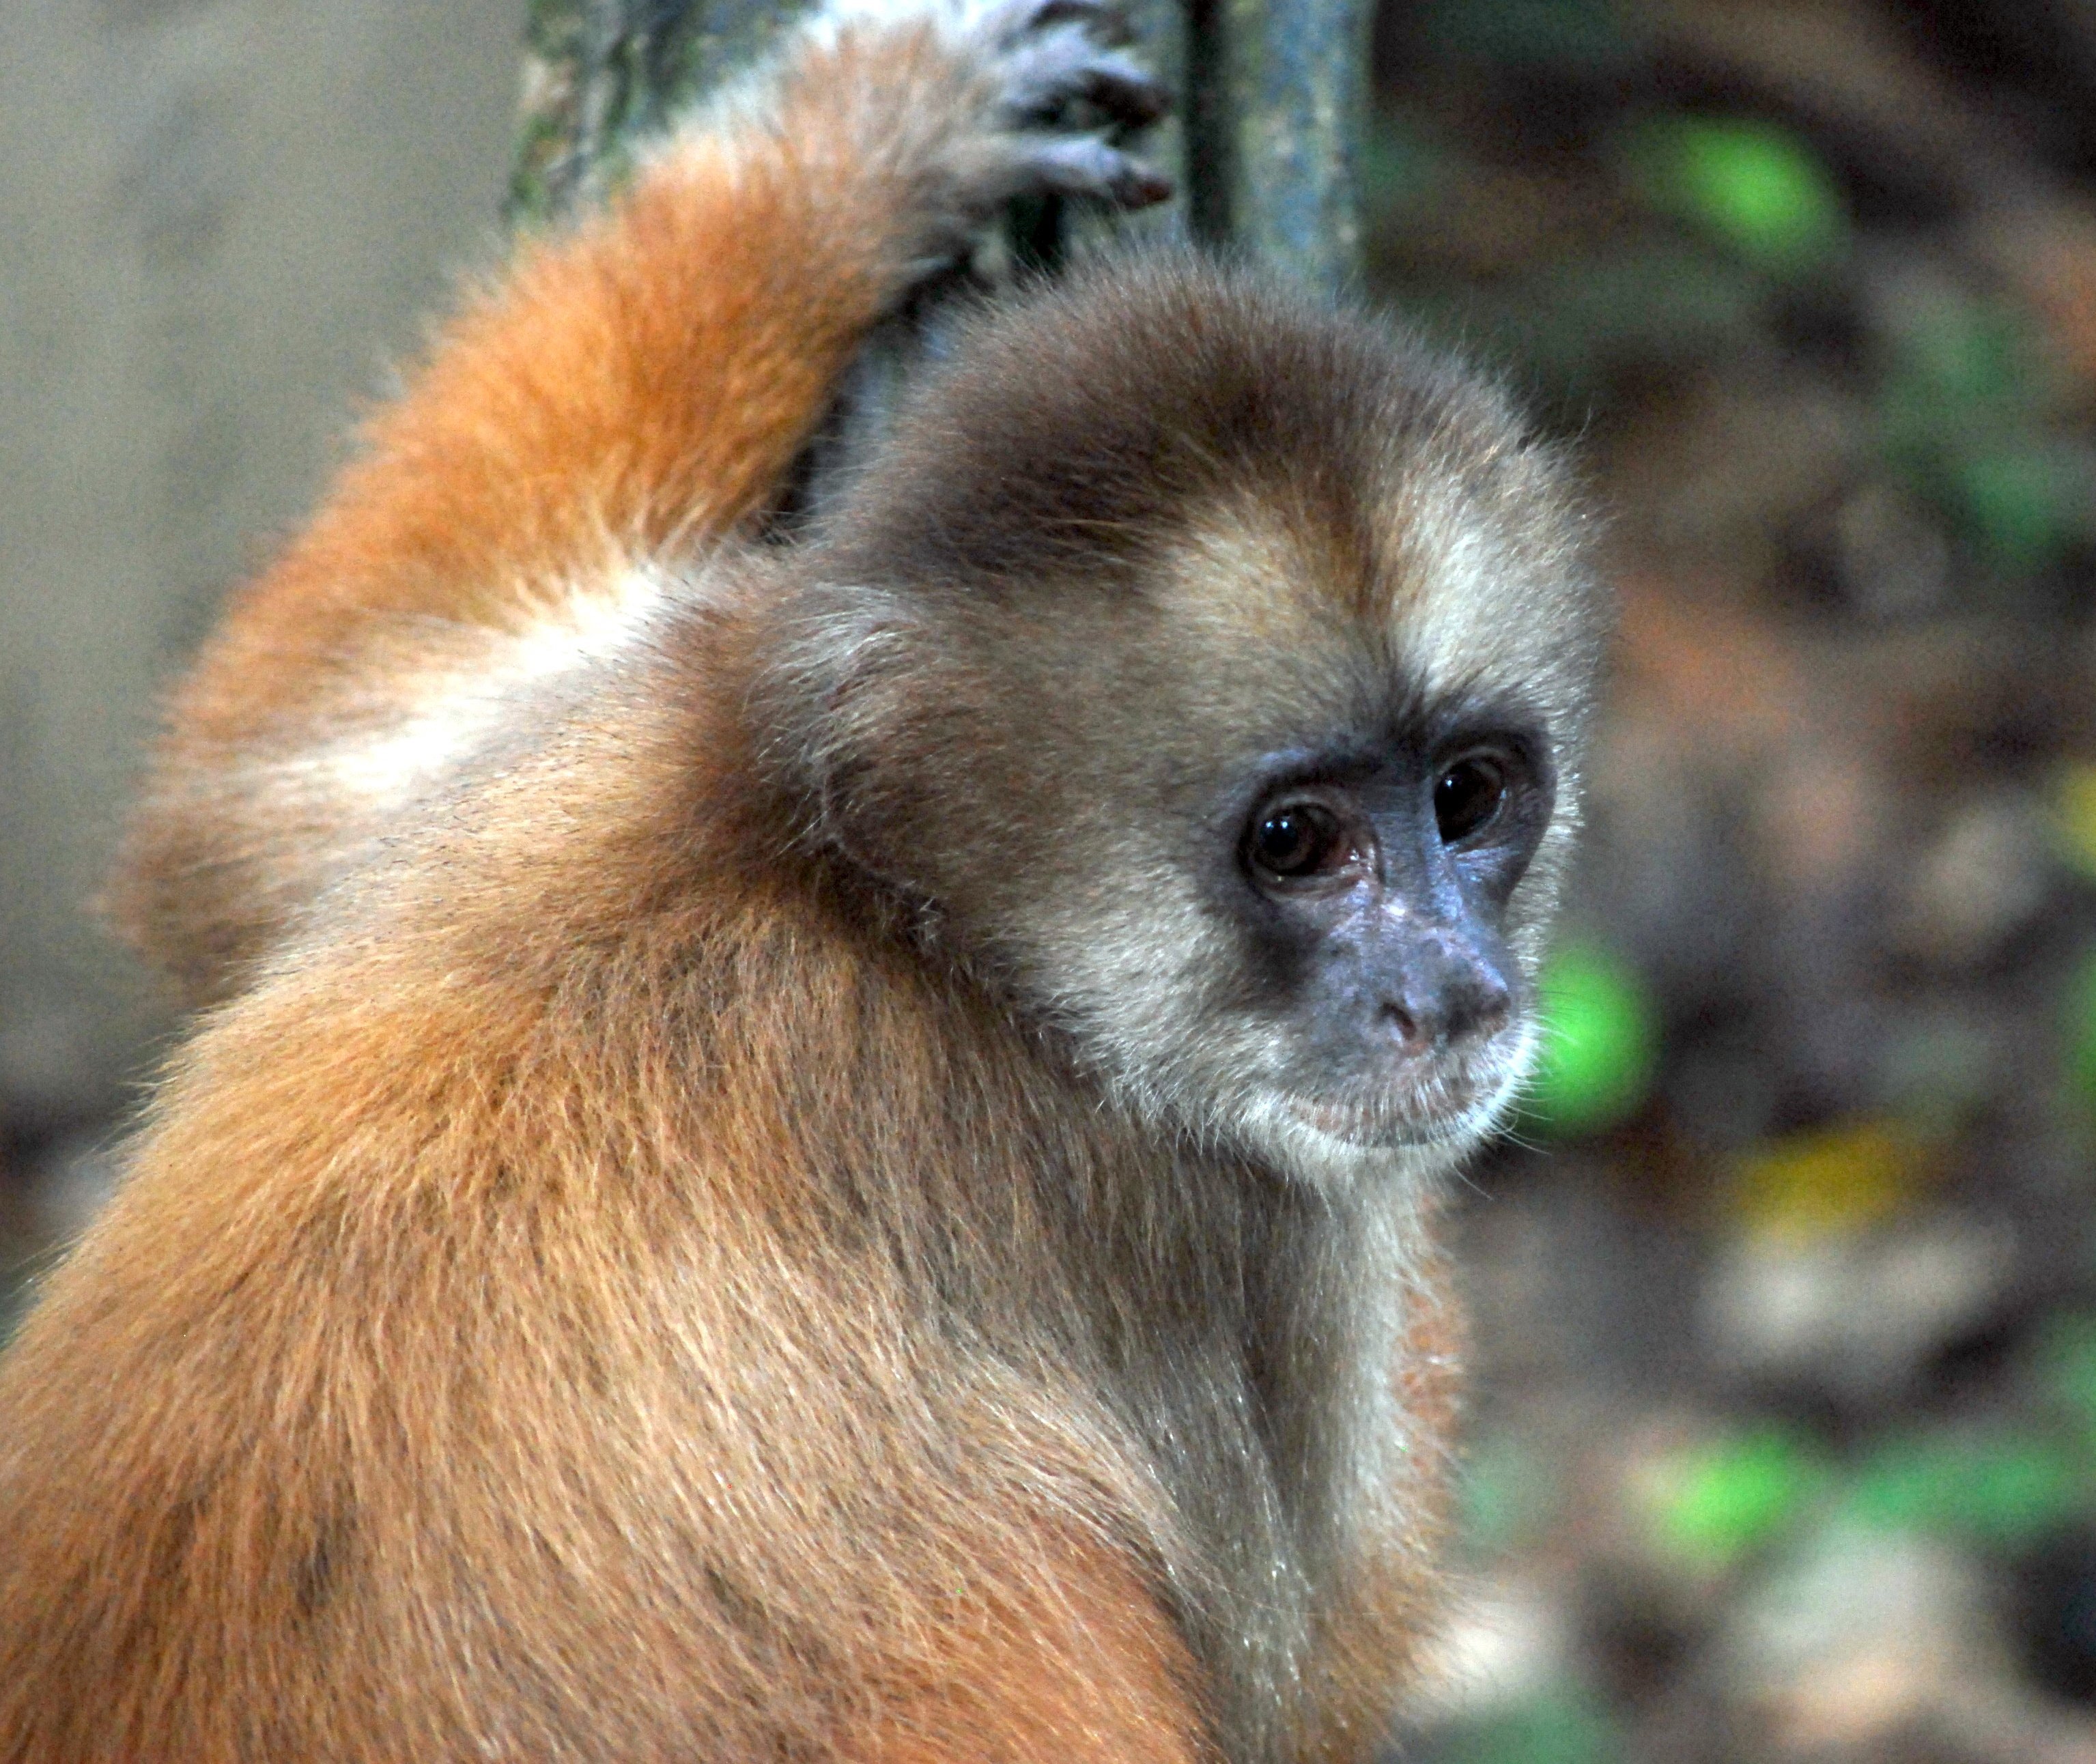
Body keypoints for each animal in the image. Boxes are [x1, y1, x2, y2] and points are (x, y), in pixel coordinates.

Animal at [3, 0, 1601, 1751]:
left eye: (1467, 799)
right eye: (1297, 844)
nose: (1454, 989)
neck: (875, 908)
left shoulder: (636, 703)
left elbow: (247, 799)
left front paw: (838, 165)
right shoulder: (1202, 1225)